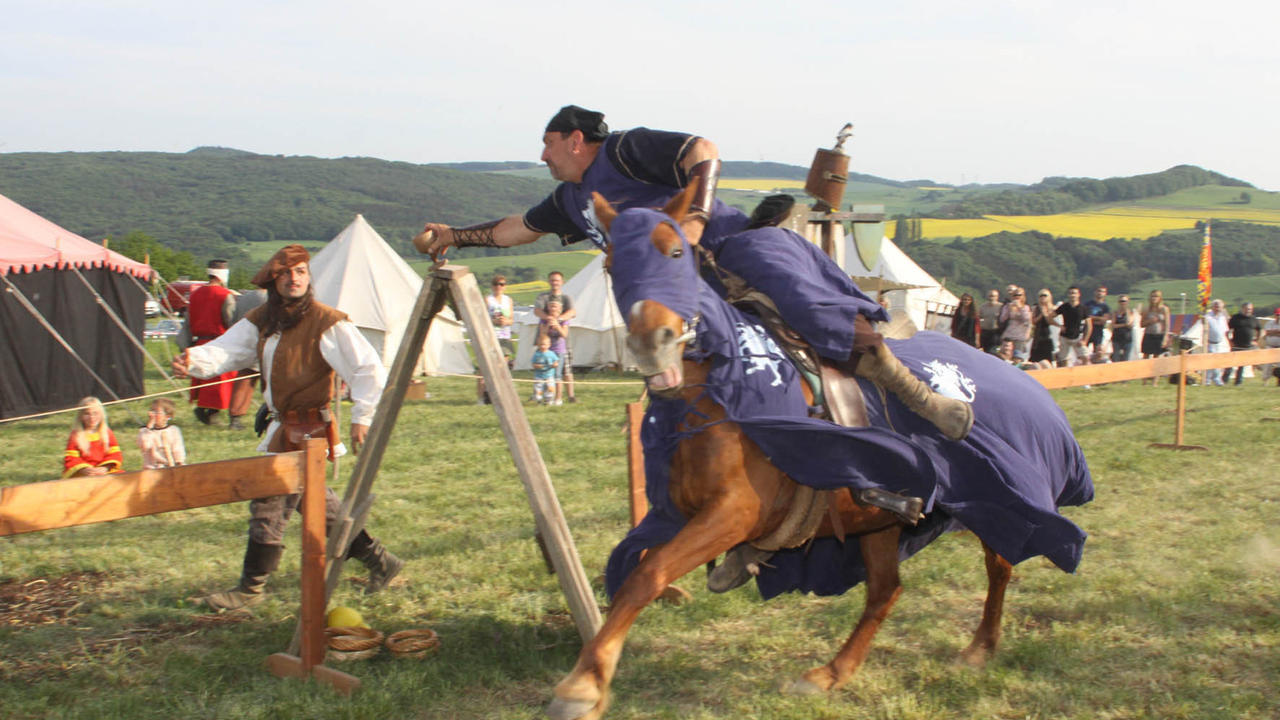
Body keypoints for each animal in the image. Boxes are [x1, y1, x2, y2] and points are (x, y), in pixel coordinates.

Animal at [545, 185, 1095, 717]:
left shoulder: (734, 512)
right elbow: (632, 570)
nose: (650, 342)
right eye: (611, 265)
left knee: (1000, 564)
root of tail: (1024, 378)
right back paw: (833, 673)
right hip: (878, 522)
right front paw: (593, 671)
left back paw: (979, 646)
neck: (719, 393)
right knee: (886, 590)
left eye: (676, 252)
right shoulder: (676, 515)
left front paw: (583, 686)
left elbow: (648, 573)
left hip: (999, 503)